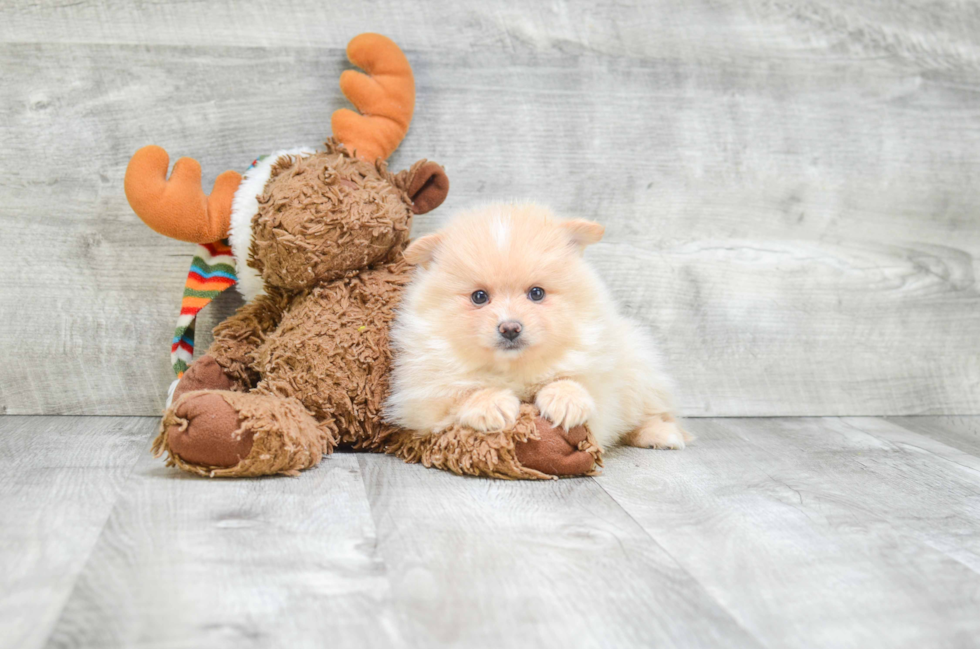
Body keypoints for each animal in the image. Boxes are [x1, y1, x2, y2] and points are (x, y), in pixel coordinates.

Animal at [382, 204, 688, 450]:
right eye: (479, 297)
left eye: (537, 293)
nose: (510, 328)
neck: (515, 369)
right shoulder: (423, 400)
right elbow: (462, 394)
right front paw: (490, 403)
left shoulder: (600, 377)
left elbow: (576, 382)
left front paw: (566, 400)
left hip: (639, 368)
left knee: (648, 413)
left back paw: (661, 434)